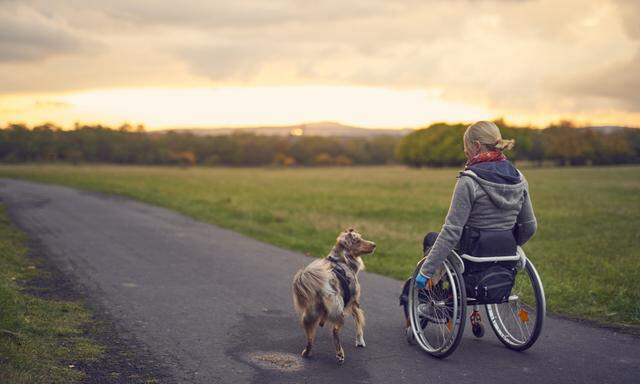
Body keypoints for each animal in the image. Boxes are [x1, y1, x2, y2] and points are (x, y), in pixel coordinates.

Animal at [292, 230, 376, 364]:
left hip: (308, 316)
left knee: (310, 338)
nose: (374, 245)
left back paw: (307, 352)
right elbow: (359, 323)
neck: (341, 259)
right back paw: (340, 354)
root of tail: (324, 286)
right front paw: (360, 341)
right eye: (358, 240)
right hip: (339, 313)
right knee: (335, 332)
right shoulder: (354, 303)